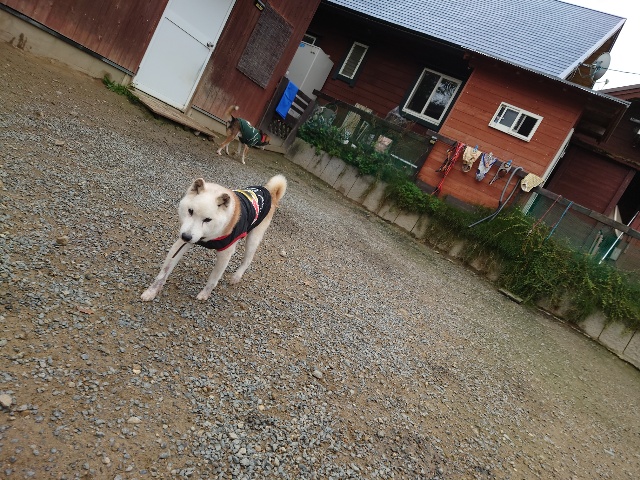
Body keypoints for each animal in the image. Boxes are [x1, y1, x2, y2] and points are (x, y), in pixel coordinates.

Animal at [141, 174, 287, 301]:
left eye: (207, 220)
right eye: (190, 211)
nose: (186, 237)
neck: (207, 237)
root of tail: (270, 192)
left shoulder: (225, 254)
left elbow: (213, 279)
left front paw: (204, 294)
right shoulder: (182, 242)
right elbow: (164, 272)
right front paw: (151, 292)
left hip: (253, 239)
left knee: (247, 260)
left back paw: (236, 276)